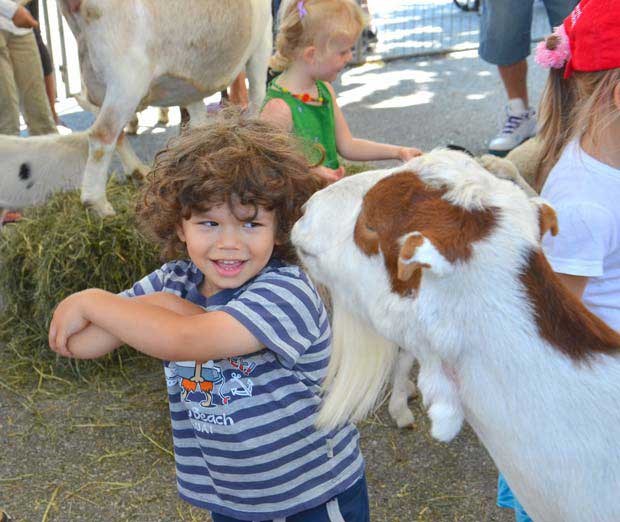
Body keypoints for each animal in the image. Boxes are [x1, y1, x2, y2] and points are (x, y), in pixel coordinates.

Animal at [58, 0, 272, 215]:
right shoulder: (262, 42)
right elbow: (257, 96)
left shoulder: (190, 83)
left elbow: (197, 118)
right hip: (127, 77)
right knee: (102, 135)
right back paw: (97, 203)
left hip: (96, 83)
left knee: (113, 133)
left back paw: (137, 171)